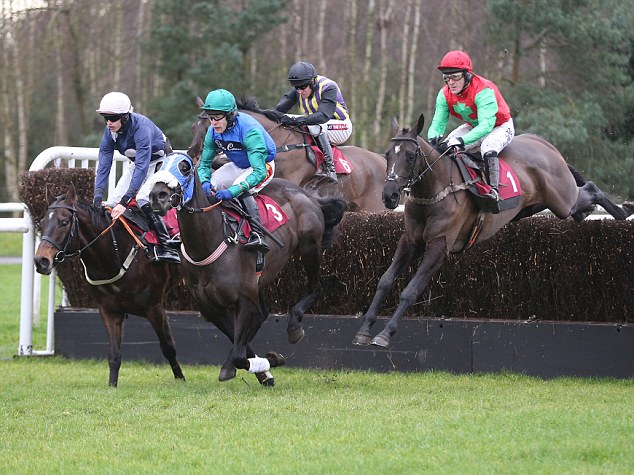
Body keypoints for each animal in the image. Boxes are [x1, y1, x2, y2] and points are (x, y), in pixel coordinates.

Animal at [148, 154, 346, 384]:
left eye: (185, 168)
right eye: (158, 166)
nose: (157, 196)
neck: (208, 244)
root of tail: (307, 195)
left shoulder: (243, 299)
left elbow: (239, 354)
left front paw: (269, 362)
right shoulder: (210, 307)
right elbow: (237, 342)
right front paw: (264, 369)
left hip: (309, 246)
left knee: (316, 287)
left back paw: (294, 326)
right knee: (262, 314)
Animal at [185, 97, 388, 213]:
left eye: (209, 127)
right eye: (194, 127)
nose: (192, 156)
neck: (282, 143)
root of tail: (382, 160)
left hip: (375, 206)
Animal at [354, 113, 628, 348]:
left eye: (411, 156)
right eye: (387, 154)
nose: (389, 195)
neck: (436, 189)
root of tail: (543, 144)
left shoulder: (439, 246)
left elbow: (410, 291)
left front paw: (385, 333)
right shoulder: (410, 240)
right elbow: (385, 281)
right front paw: (365, 329)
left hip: (562, 201)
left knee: (590, 189)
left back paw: (622, 212)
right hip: (533, 207)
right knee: (581, 207)